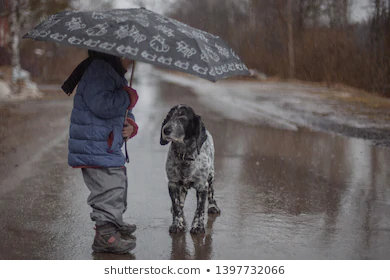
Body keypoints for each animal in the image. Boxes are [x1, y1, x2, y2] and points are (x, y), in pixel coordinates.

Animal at [158, 104, 219, 233]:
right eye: (169, 117)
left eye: (182, 118)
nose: (165, 130)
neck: (184, 155)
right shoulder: (173, 184)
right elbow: (176, 206)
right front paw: (177, 224)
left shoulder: (202, 186)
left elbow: (200, 209)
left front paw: (198, 226)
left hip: (211, 175)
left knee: (211, 192)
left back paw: (213, 206)